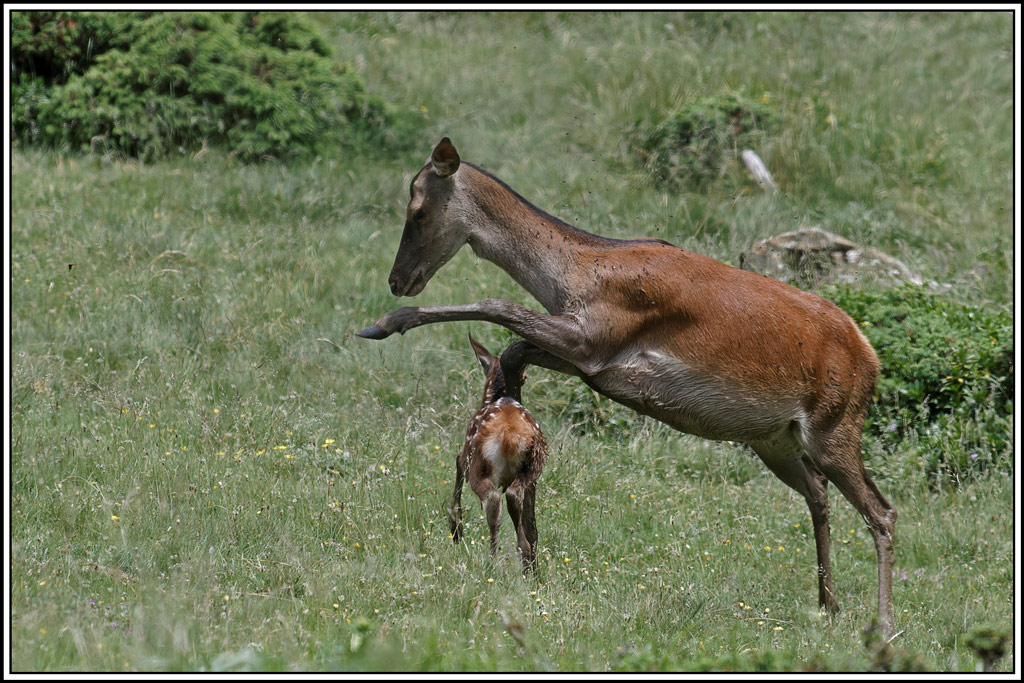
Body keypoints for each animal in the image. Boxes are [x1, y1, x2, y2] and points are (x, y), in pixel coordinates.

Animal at [449, 334, 548, 571]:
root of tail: (510, 436)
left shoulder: (466, 451)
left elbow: (457, 462)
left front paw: (455, 528)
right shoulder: (534, 481)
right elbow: (532, 525)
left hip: (480, 464)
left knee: (495, 501)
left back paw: (494, 559)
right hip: (533, 465)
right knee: (519, 507)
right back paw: (526, 563)